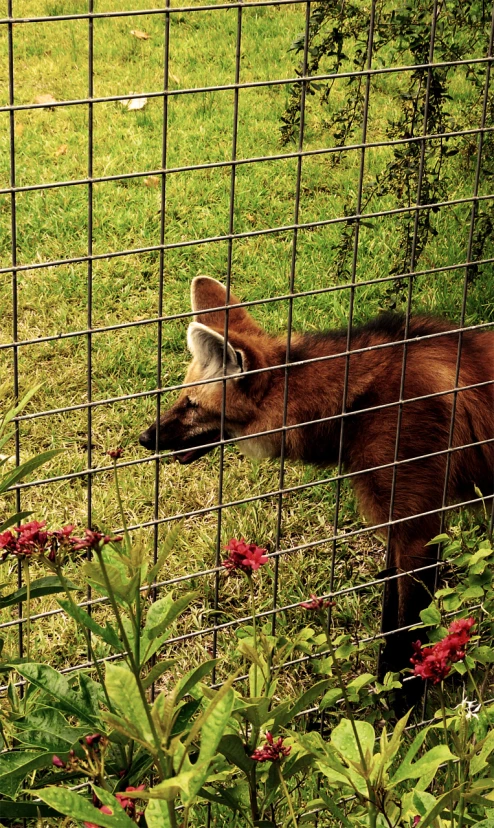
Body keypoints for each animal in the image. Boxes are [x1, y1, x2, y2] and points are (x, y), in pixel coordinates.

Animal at [139, 274, 494, 688]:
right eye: (182, 397)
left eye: (193, 405)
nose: (145, 438)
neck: (354, 406)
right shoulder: (398, 524)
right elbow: (391, 627)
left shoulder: (418, 529)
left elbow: (406, 638)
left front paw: (397, 701)